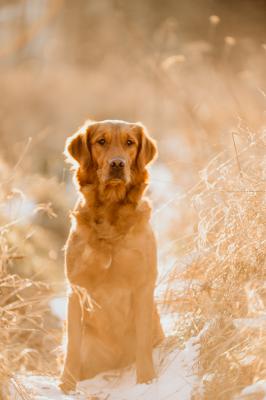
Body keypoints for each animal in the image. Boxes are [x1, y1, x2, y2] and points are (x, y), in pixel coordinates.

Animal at [59, 119, 164, 394]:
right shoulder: (76, 288)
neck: (110, 211)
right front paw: (66, 386)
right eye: (101, 141)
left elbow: (142, 341)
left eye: (130, 143)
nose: (118, 164)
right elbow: (72, 346)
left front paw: (146, 380)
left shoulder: (143, 283)